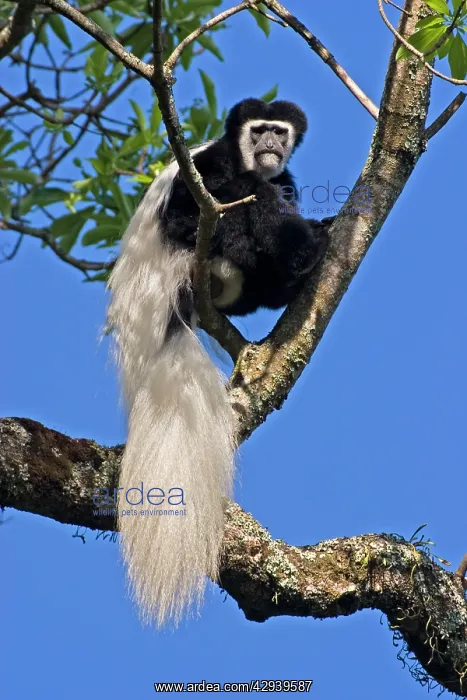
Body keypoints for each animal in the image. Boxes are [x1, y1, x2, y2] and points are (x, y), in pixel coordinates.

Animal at [107, 98, 333, 627]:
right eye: (259, 130)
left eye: (279, 132)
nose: (269, 144)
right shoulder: (211, 166)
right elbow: (202, 203)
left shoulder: (286, 173)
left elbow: (280, 183)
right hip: (199, 246)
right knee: (240, 200)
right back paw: (304, 251)